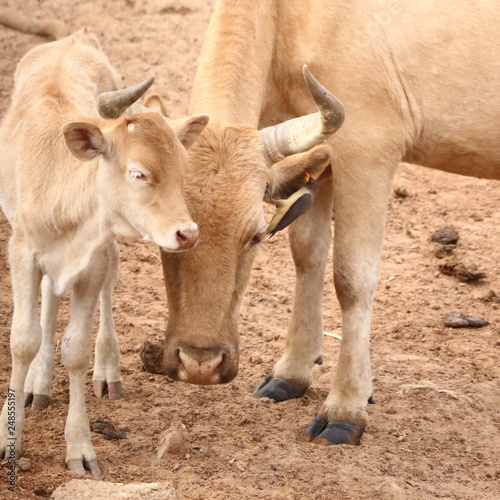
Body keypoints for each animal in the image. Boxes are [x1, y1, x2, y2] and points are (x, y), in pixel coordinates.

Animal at [0, 28, 208, 476]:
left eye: (183, 169)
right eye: (139, 173)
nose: (187, 233)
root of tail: (75, 38)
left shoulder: (91, 262)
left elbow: (76, 349)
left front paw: (80, 448)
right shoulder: (22, 253)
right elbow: (23, 339)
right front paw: (9, 441)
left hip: (108, 246)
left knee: (110, 281)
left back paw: (107, 370)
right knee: (48, 299)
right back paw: (38, 382)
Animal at [156, 0, 500, 446]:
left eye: (255, 235)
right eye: (164, 235)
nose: (200, 364)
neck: (291, 17)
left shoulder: (368, 152)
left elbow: (353, 278)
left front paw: (346, 409)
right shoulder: (318, 156)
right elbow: (308, 254)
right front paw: (290, 374)